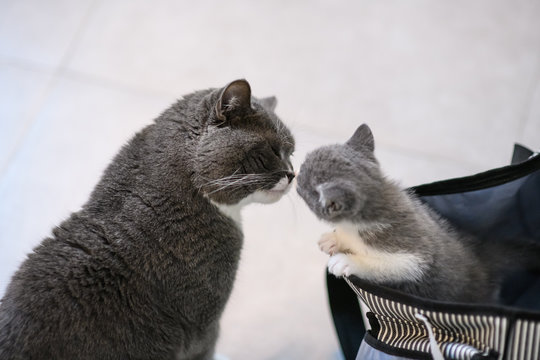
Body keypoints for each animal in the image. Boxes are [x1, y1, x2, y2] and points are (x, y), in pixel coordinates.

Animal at [298, 125, 536, 302]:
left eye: (303, 179)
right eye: (302, 168)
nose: (295, 175)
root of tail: (484, 256)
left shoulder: (411, 250)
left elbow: (395, 266)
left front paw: (348, 261)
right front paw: (335, 238)